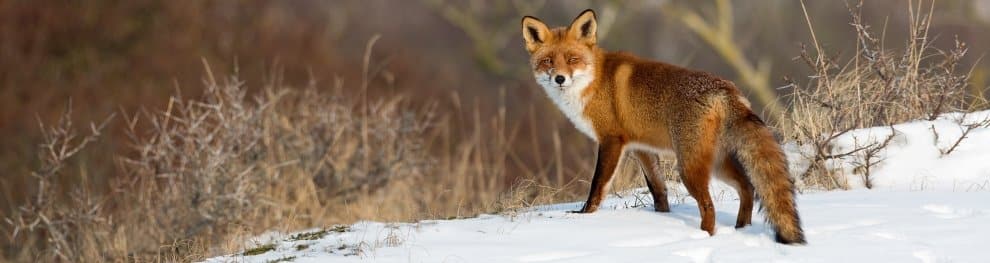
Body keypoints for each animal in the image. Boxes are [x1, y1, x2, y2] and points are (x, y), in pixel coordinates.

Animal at [520, 9, 808, 245]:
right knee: (747, 187)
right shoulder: (641, 148)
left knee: (710, 205)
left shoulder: (611, 140)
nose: (559, 78)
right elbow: (658, 190)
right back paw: (741, 229)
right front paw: (660, 218)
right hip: (716, 163)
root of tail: (727, 89)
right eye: (548, 61)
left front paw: (584, 215)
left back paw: (703, 237)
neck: (593, 82)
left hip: (689, 167)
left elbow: (597, 185)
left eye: (572, 59)